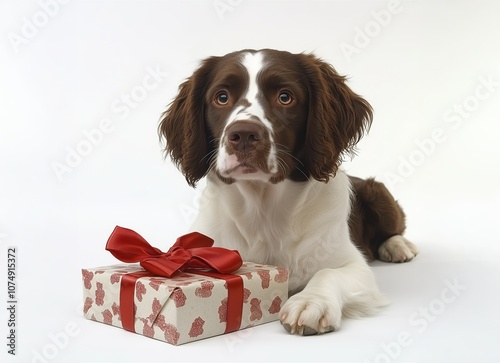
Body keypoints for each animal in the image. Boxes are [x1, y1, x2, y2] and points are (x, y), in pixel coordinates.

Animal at [157, 49, 418, 336]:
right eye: (222, 97)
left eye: (285, 97)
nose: (244, 135)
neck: (262, 209)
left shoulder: (354, 265)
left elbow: (328, 272)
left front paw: (311, 302)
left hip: (376, 191)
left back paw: (398, 246)